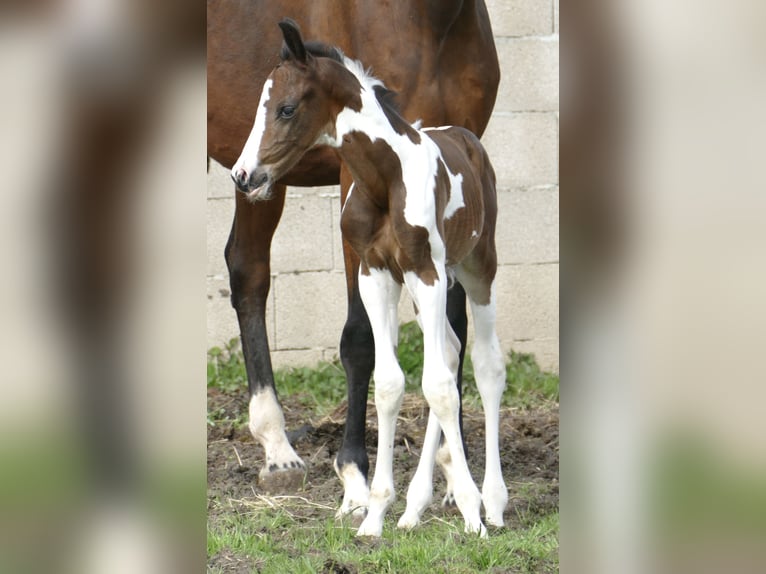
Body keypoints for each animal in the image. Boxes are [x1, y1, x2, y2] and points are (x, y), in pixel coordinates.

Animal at [207, 0, 500, 517]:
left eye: (287, 108)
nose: (243, 172)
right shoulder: (358, 205)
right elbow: (363, 339)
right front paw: (357, 480)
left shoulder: (447, 223)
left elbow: (451, 340)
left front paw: (453, 473)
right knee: (248, 271)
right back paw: (279, 452)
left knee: (247, 268)